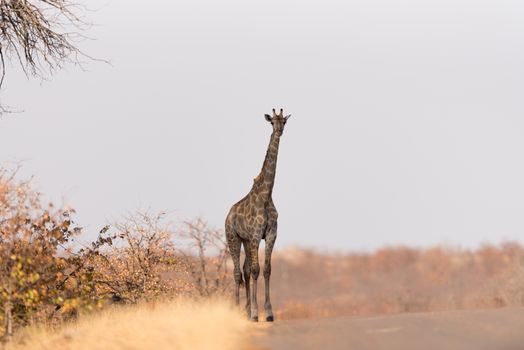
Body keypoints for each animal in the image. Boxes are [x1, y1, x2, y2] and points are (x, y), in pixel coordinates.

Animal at [225, 107, 290, 322]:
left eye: (284, 122)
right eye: (271, 122)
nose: (279, 131)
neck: (266, 194)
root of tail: (228, 215)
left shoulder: (270, 234)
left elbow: (267, 269)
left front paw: (268, 313)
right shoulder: (255, 234)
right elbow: (256, 270)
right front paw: (256, 313)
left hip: (245, 241)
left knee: (244, 271)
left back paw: (245, 312)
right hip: (233, 238)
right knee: (237, 272)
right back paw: (238, 311)